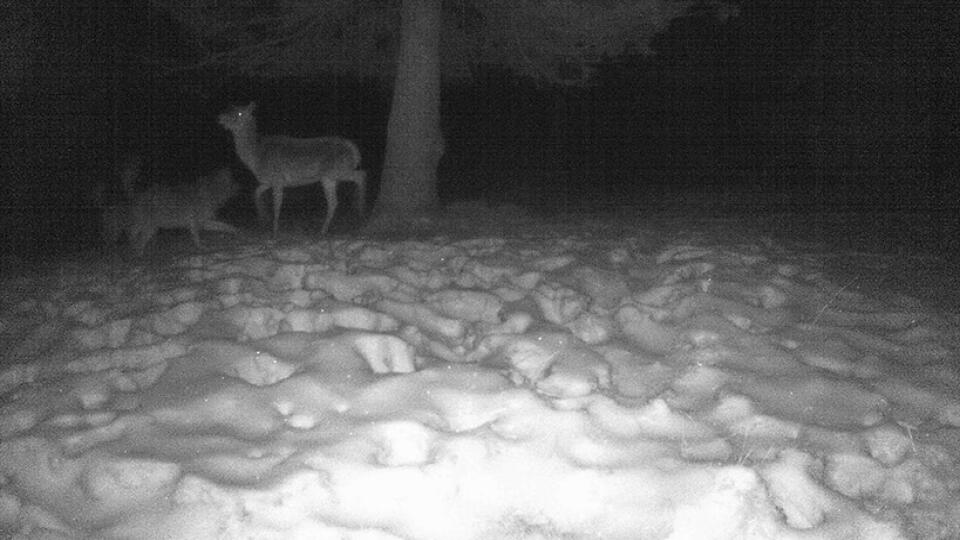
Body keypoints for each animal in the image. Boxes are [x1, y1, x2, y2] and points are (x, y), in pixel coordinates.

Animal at [218, 103, 368, 234]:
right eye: (230, 110)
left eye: (239, 113)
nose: (220, 117)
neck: (255, 159)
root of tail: (355, 151)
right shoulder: (268, 181)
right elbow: (256, 193)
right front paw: (262, 218)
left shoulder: (277, 179)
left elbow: (277, 205)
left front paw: (274, 230)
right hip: (330, 177)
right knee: (334, 201)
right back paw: (325, 229)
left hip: (335, 171)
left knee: (361, 175)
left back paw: (360, 211)